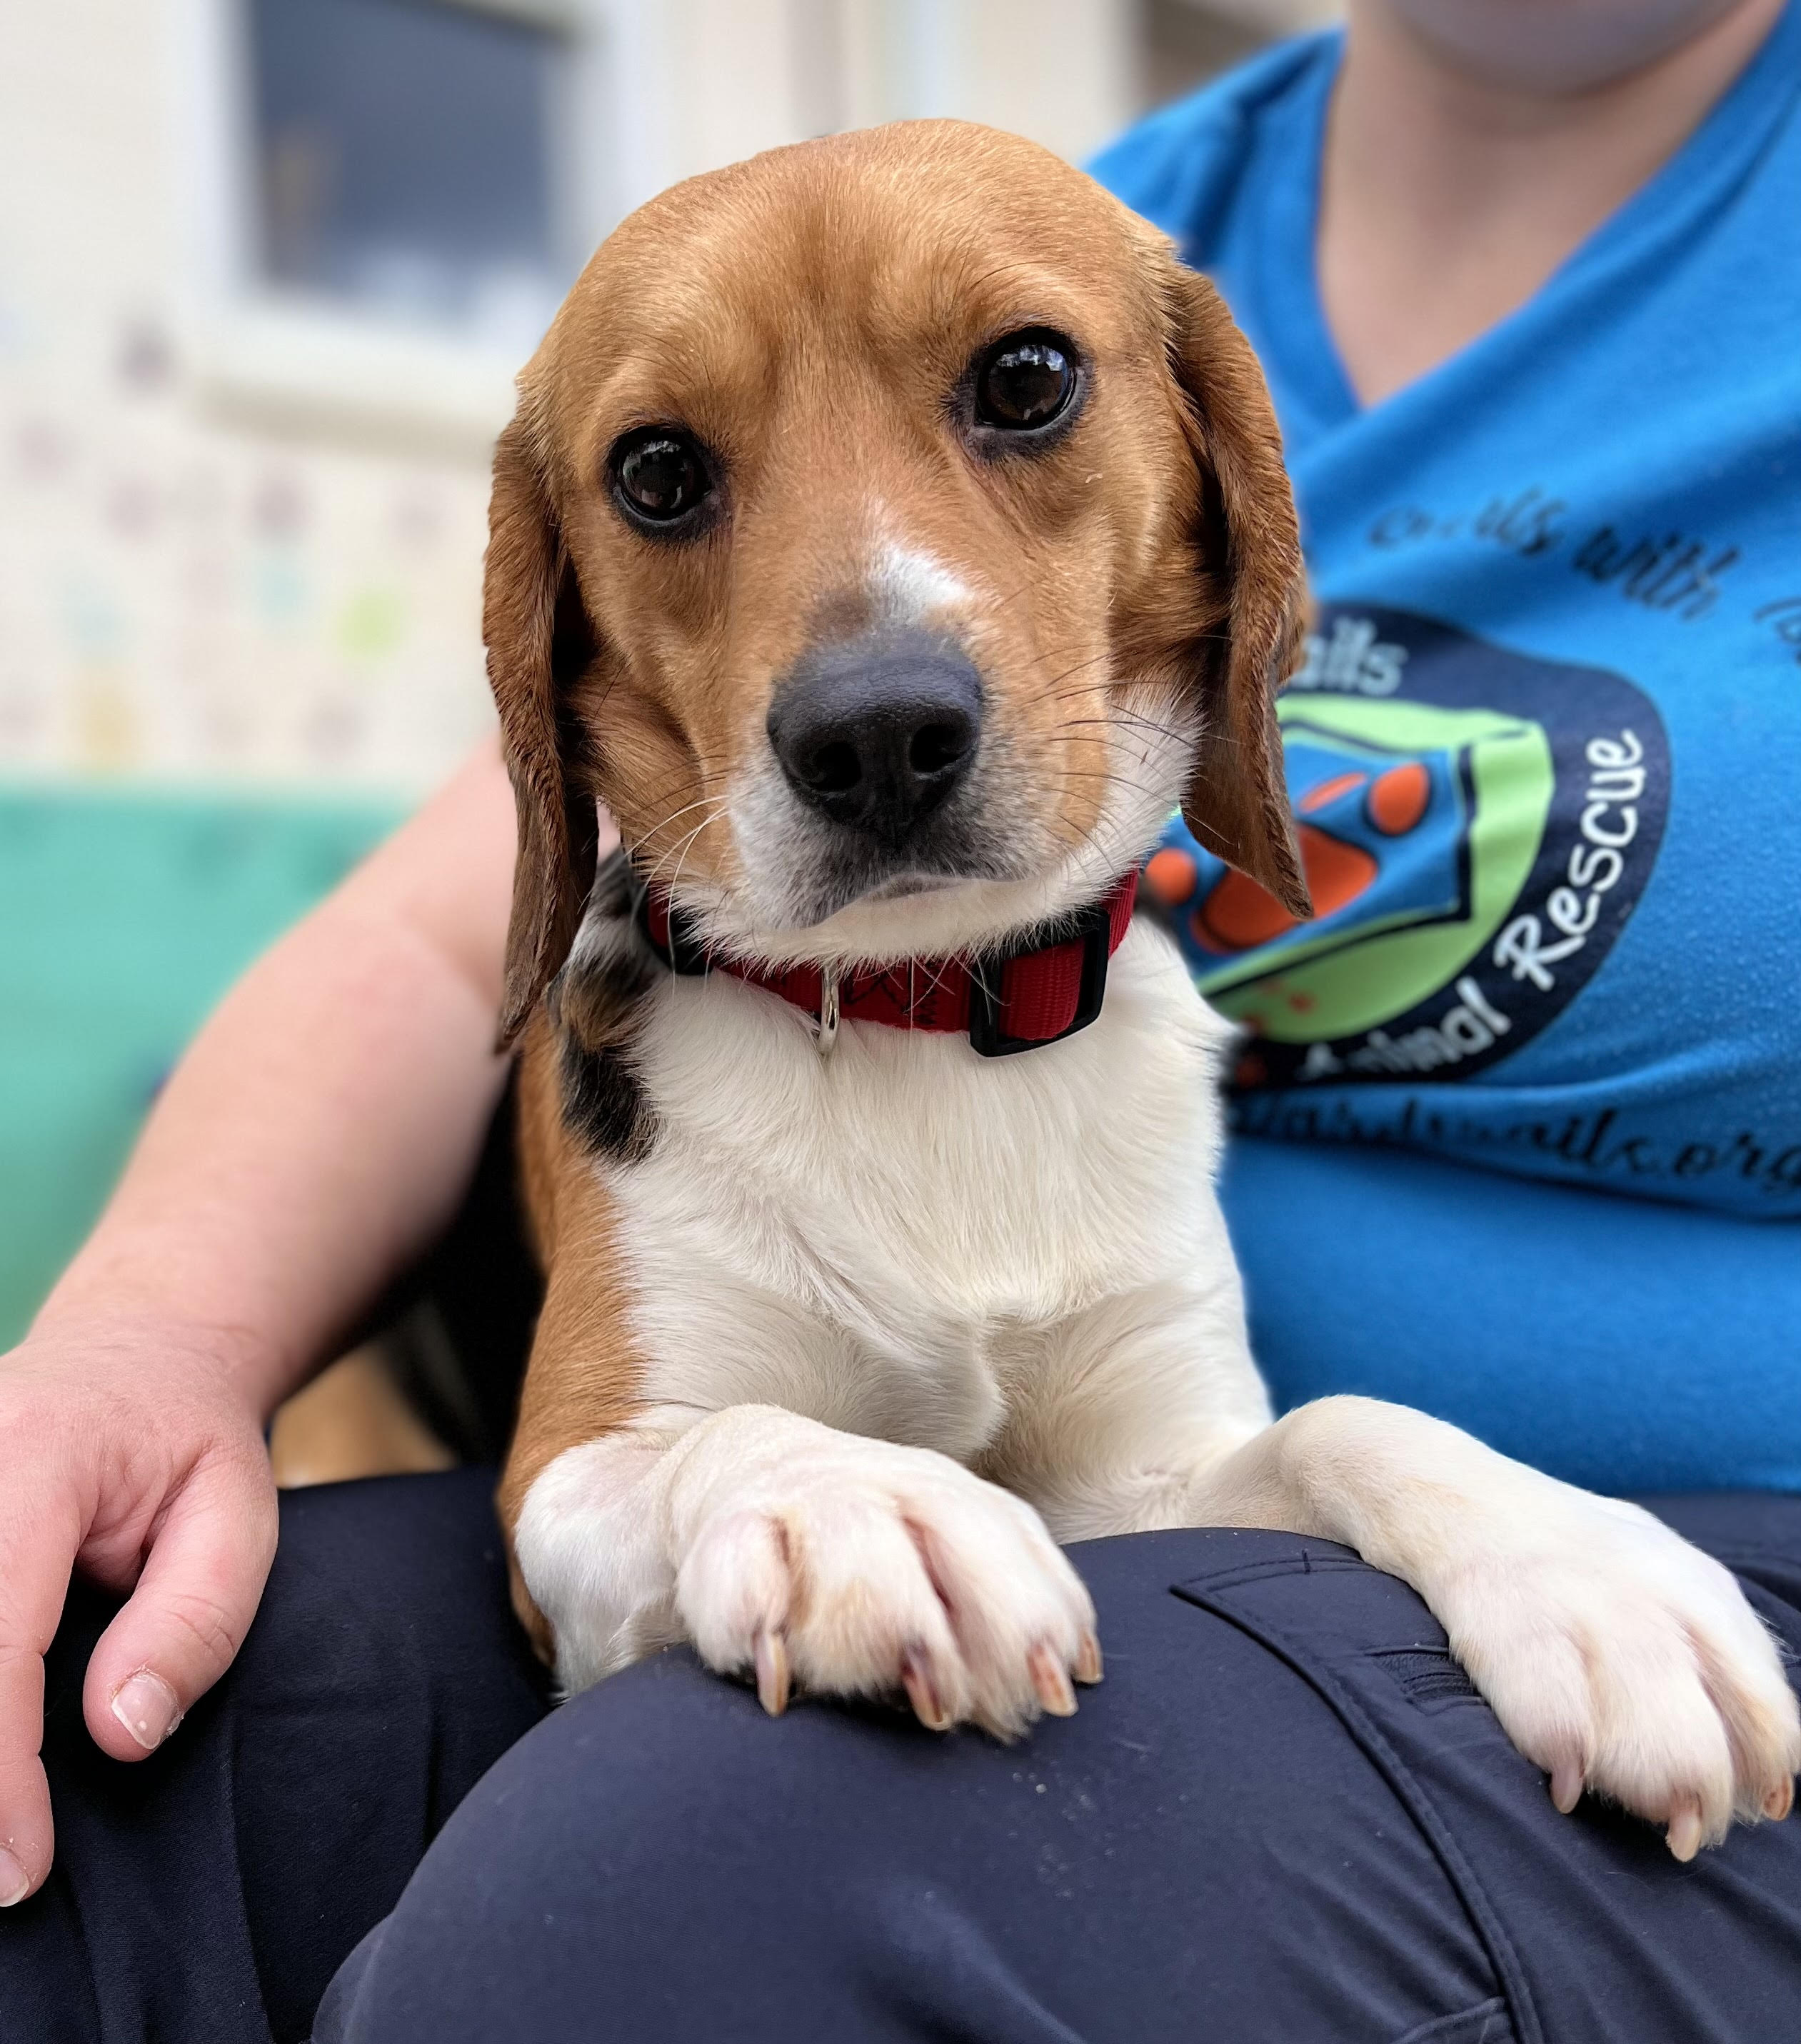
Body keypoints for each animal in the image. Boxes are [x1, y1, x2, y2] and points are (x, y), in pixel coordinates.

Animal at [480, 119, 1799, 1864]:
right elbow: (736, 1429)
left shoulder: (1139, 1477)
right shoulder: (562, 1484)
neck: (927, 1015)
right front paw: (862, 1501)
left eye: (1027, 377)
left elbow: (1348, 1420)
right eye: (655, 474)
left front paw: (1584, 1569)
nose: (874, 736)